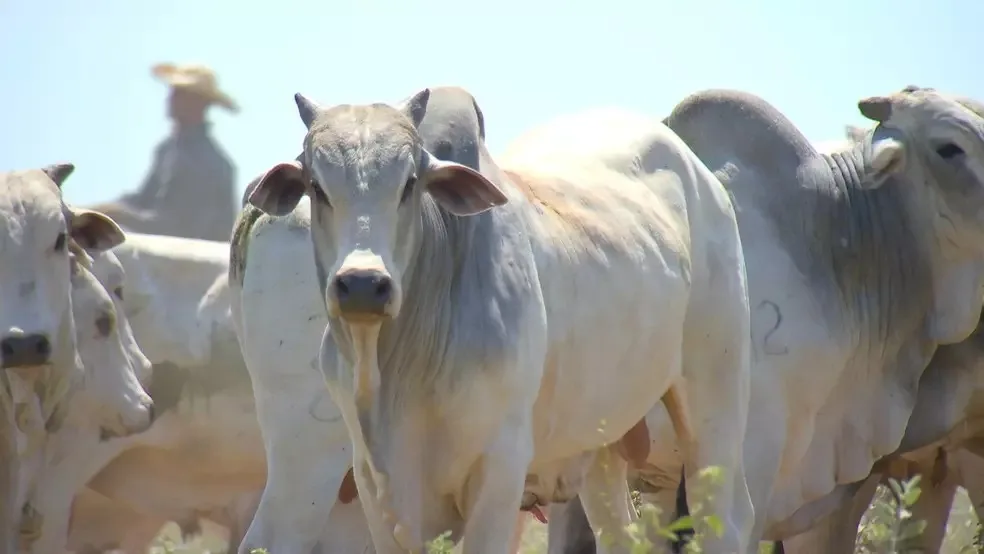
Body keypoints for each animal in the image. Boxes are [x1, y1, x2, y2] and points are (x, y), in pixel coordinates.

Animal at [246, 88, 752, 548]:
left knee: (726, 517)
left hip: (715, 399)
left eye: (410, 183)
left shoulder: (500, 469)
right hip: (600, 441)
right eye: (317, 187)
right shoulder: (375, 483)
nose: (364, 284)